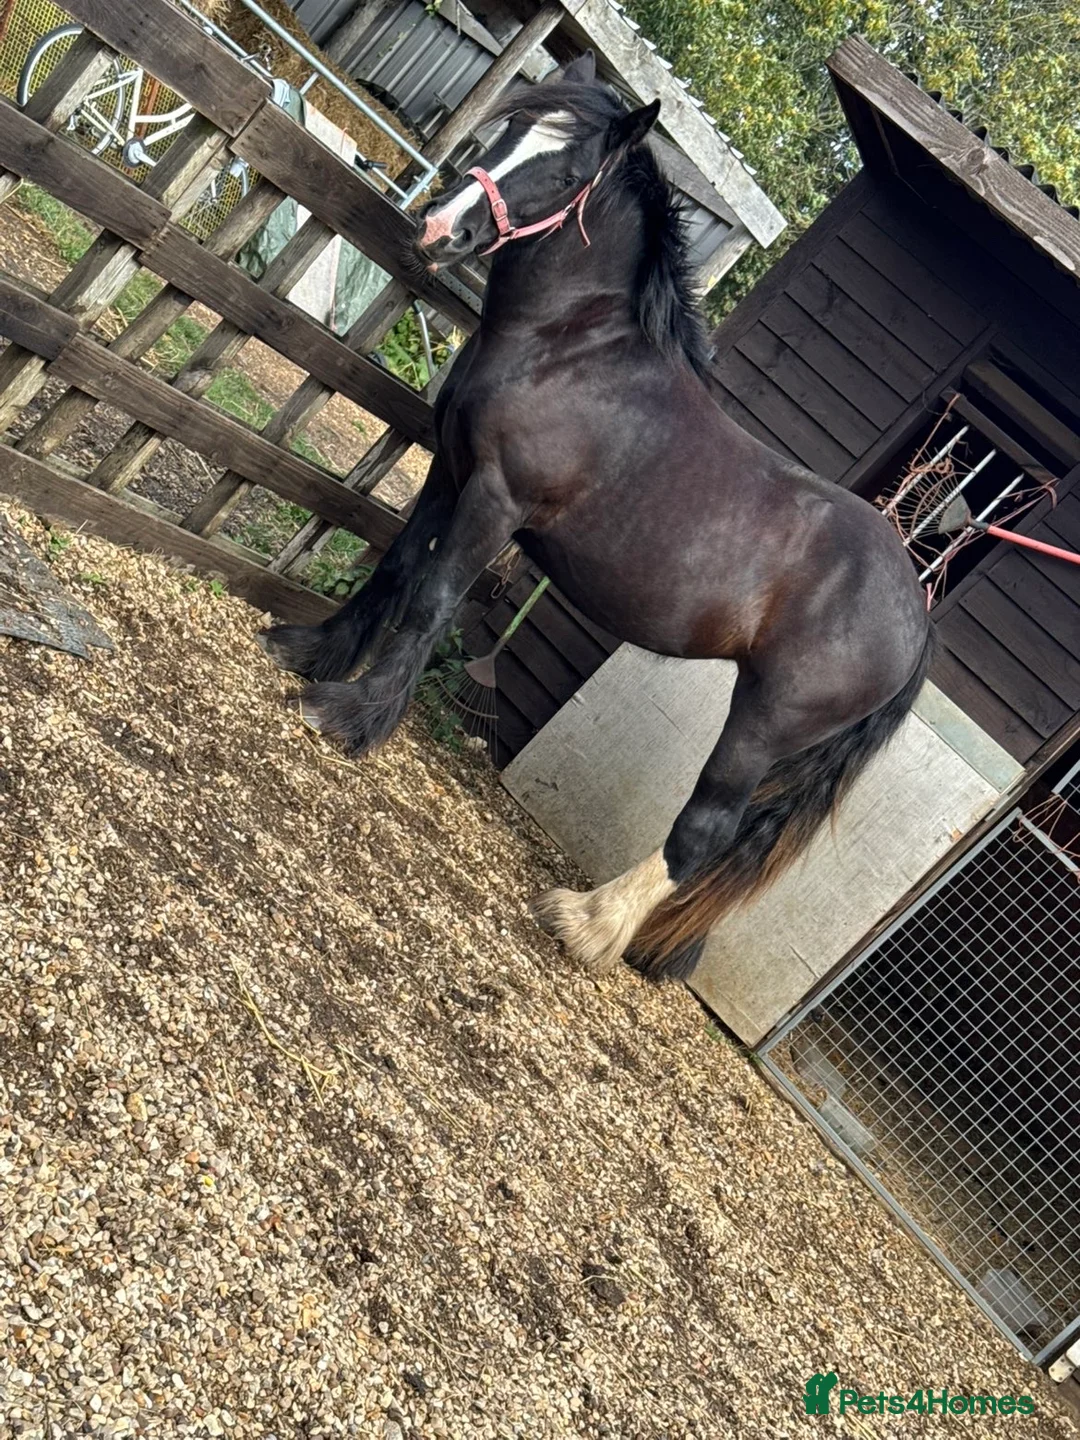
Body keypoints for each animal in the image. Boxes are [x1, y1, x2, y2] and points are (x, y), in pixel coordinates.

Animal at [260, 52, 933, 983]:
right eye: (509, 130)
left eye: (568, 172)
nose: (440, 228)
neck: (572, 351)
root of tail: (916, 614)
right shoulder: (451, 470)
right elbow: (395, 564)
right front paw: (309, 652)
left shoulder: (495, 499)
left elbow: (431, 598)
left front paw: (351, 717)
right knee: (734, 848)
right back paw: (660, 950)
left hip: (765, 719)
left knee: (706, 830)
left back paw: (587, 923)